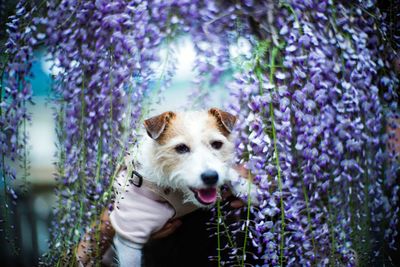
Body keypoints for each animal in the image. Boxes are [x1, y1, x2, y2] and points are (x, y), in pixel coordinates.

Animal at [76, 109, 256, 267]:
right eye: (181, 148)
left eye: (217, 144)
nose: (211, 177)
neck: (175, 191)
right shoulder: (130, 236)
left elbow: (229, 173)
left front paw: (249, 190)